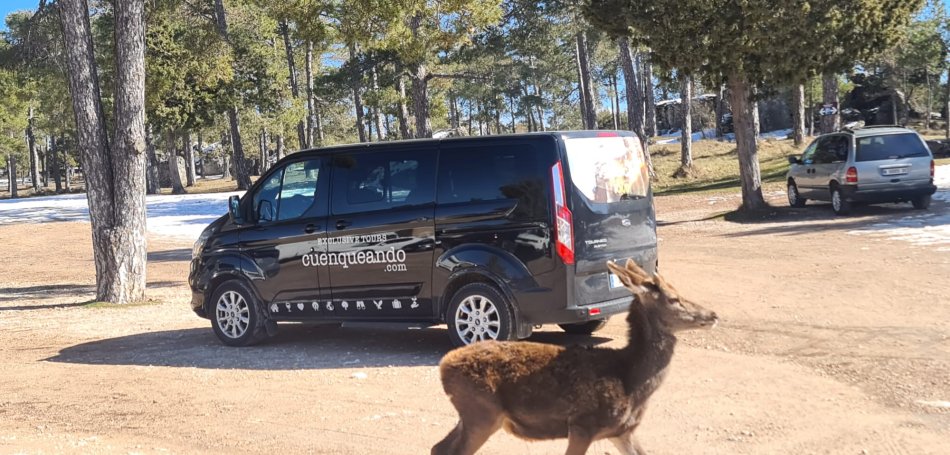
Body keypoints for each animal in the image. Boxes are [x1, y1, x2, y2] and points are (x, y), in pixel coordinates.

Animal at [436, 260, 716, 455]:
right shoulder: (583, 425)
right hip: (481, 412)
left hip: (474, 415)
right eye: (673, 298)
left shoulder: (622, 431)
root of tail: (443, 366)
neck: (631, 379)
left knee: (439, 447)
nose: (712, 314)